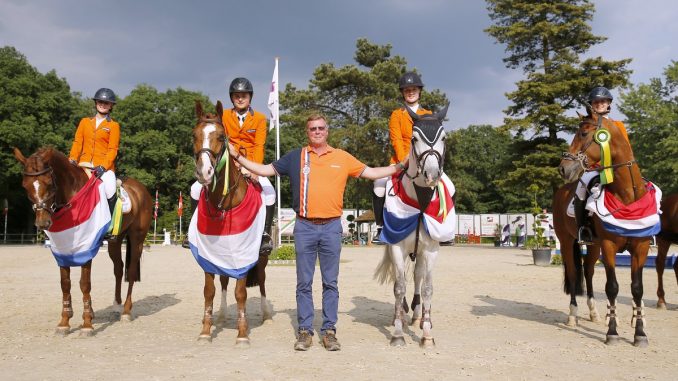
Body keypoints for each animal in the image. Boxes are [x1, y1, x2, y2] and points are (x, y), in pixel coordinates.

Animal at [13, 147, 152, 334]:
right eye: (25, 185)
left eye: (49, 183)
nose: (43, 223)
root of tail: (141, 189)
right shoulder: (62, 246)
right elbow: (65, 283)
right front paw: (64, 322)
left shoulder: (87, 244)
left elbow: (84, 283)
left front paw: (87, 324)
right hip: (115, 241)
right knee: (118, 269)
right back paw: (116, 305)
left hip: (137, 238)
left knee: (129, 272)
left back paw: (126, 311)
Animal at [191, 99, 270, 342]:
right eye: (193, 135)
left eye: (220, 136)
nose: (204, 173)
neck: (223, 202)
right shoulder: (208, 254)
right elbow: (210, 291)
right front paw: (205, 330)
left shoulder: (243, 253)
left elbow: (241, 292)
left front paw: (242, 334)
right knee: (225, 281)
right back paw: (222, 314)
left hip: (261, 258)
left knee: (262, 280)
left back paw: (266, 315)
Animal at [556, 111, 660, 346]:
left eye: (583, 133)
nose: (563, 168)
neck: (627, 196)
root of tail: (564, 189)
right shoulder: (609, 246)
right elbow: (612, 287)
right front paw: (612, 332)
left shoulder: (640, 247)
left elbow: (637, 288)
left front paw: (640, 333)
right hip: (566, 241)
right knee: (574, 274)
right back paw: (573, 316)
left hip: (593, 246)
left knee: (588, 271)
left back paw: (594, 313)